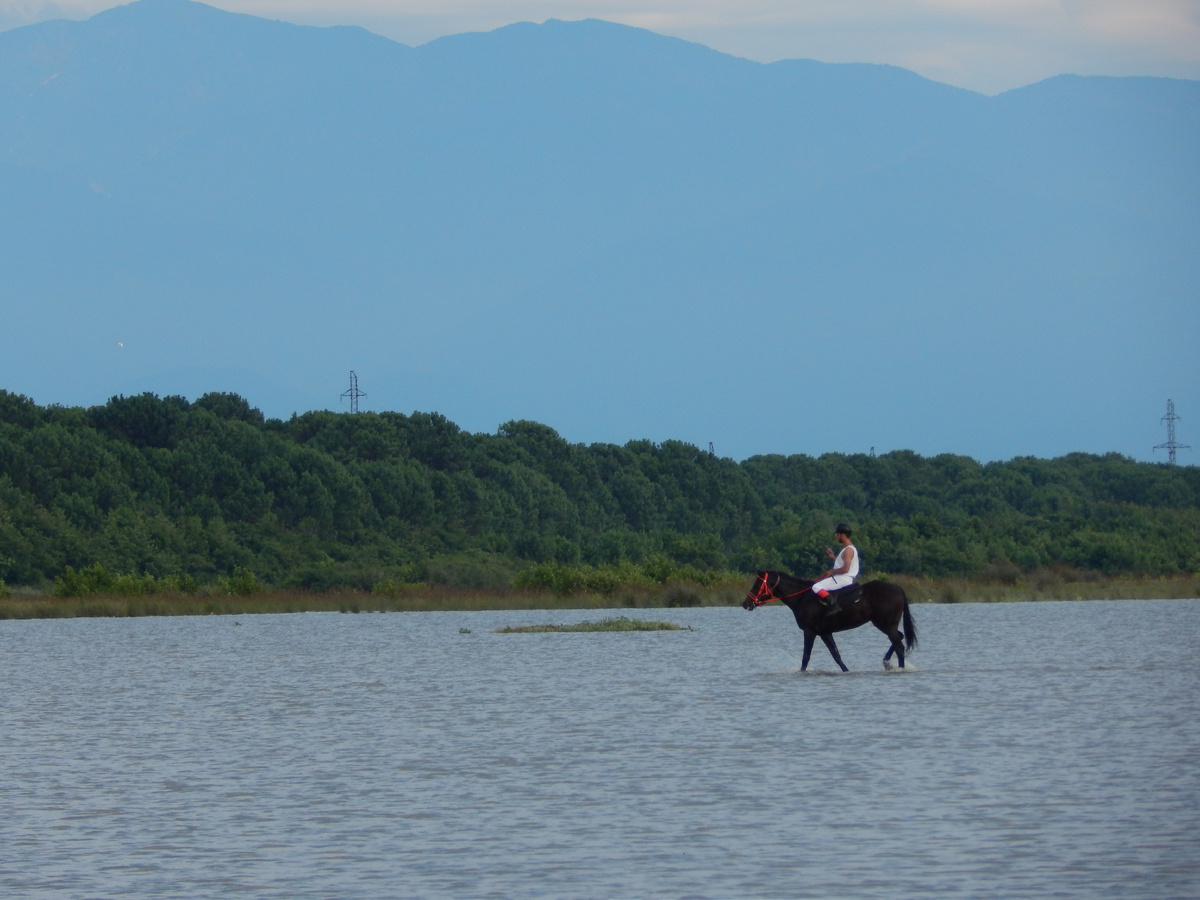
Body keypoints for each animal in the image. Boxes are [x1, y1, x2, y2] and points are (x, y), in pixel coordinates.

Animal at [739, 573, 916, 672]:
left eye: (758, 584)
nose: (746, 603)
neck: (803, 598)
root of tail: (898, 589)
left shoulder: (810, 631)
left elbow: (806, 656)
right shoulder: (824, 632)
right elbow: (836, 655)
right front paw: (846, 670)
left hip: (885, 624)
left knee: (899, 646)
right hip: (885, 624)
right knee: (899, 638)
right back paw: (887, 662)